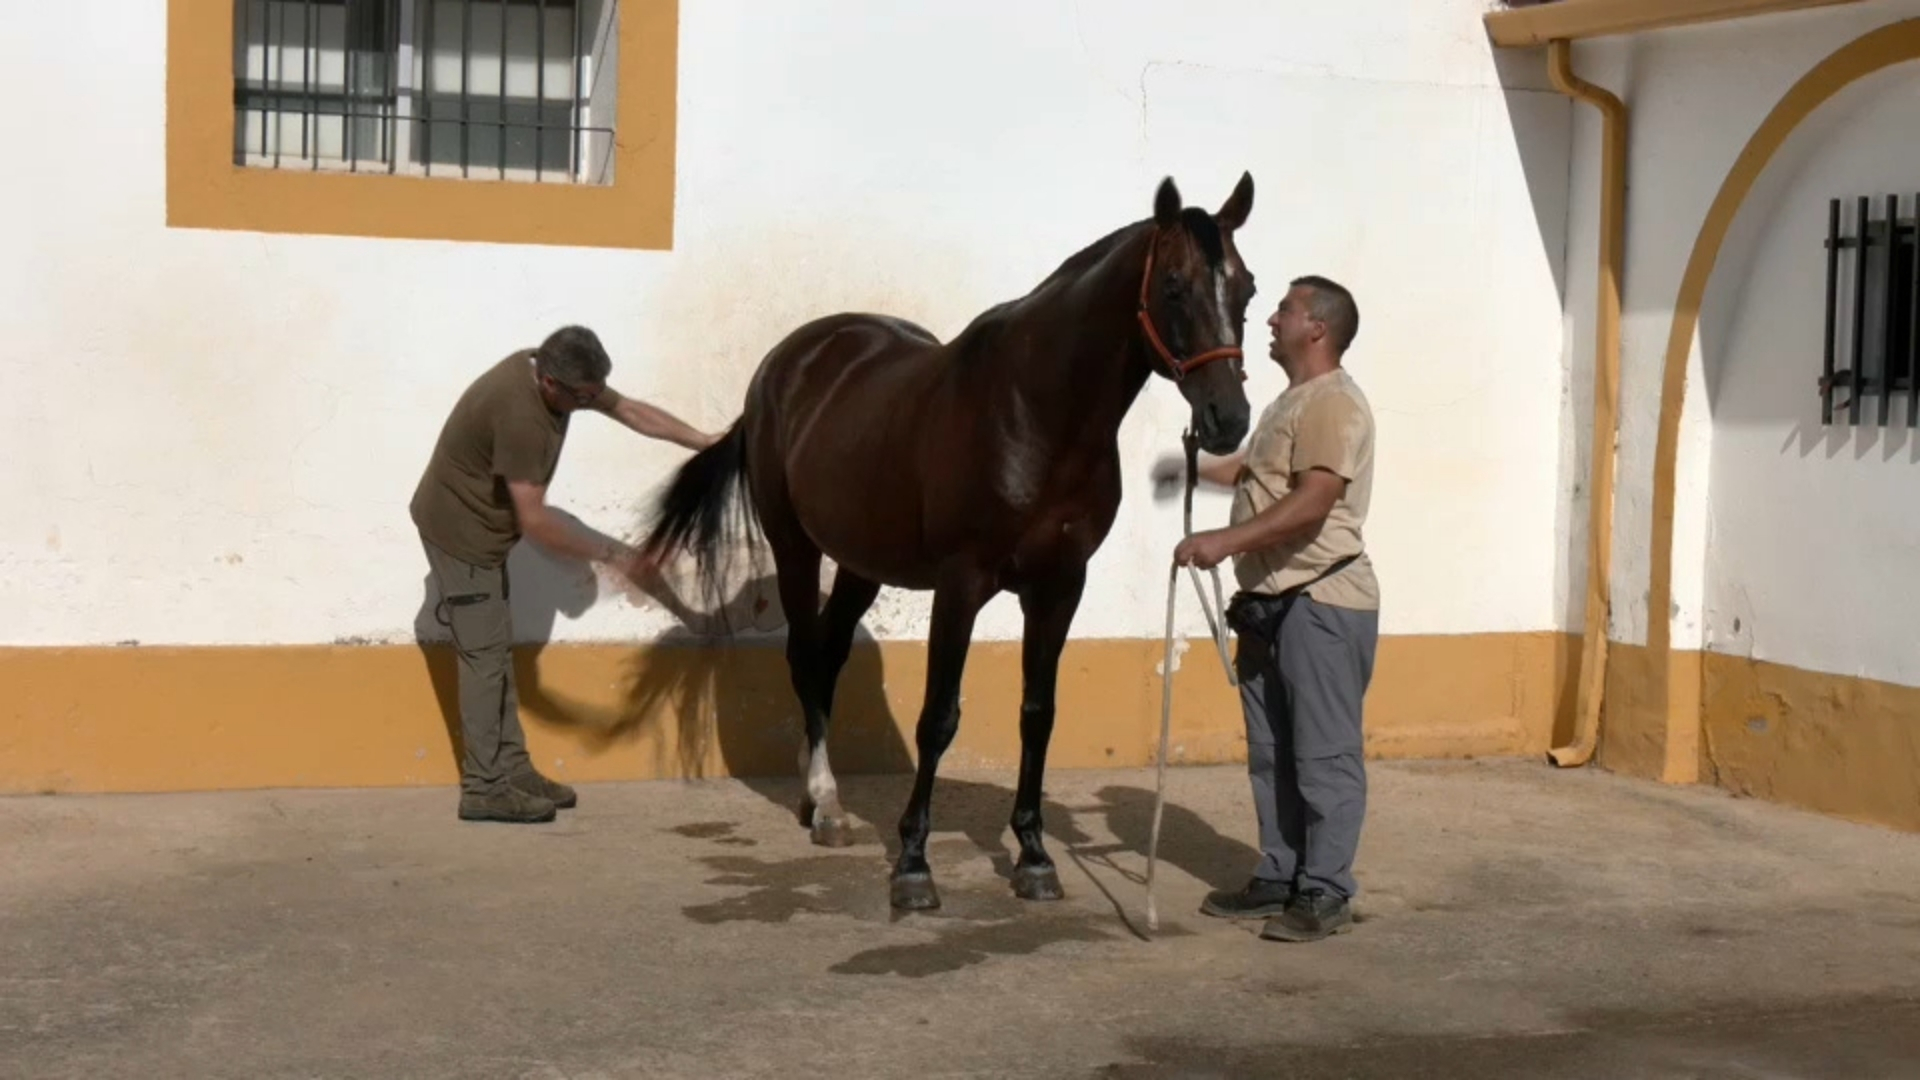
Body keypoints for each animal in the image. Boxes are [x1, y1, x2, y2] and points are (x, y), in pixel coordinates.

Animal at [640, 174, 1258, 911]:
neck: (1038, 416)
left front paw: (1033, 856)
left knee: (829, 655)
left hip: (862, 560)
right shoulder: (962, 584)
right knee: (804, 655)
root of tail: (787, 363)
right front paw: (912, 865)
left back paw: (818, 796)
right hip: (795, 546)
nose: (1228, 420)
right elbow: (938, 716)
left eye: (1248, 290)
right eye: (1172, 286)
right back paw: (825, 803)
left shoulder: (1060, 586)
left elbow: (1038, 714)